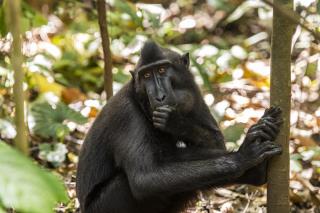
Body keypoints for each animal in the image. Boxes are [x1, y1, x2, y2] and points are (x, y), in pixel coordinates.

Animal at [75, 40, 282, 213]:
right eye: (146, 75)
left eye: (161, 70)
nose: (159, 96)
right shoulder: (127, 116)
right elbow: (144, 179)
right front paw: (243, 157)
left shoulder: (194, 92)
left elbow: (216, 144)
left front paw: (175, 122)